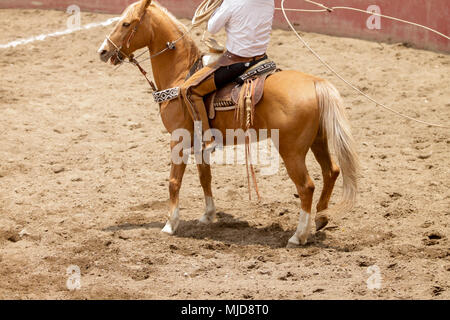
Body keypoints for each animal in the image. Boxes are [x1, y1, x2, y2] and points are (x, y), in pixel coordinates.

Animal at [98, 0, 358, 248]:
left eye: (126, 24)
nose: (103, 51)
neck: (181, 74)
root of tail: (316, 82)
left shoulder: (178, 140)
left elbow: (173, 182)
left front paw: (170, 224)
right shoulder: (199, 144)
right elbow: (205, 176)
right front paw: (208, 215)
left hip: (291, 151)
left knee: (306, 186)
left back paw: (298, 235)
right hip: (318, 140)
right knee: (331, 171)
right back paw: (321, 218)